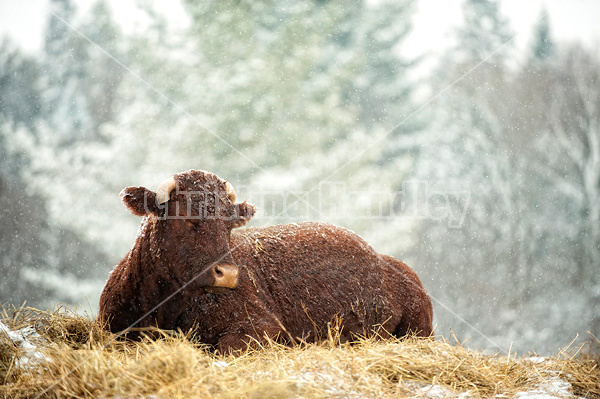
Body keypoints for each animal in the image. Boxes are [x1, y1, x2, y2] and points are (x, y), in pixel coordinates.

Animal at [99, 170, 436, 352]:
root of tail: (386, 261)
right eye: (184, 218)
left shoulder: (262, 326)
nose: (227, 273)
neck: (164, 306)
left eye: (229, 223)